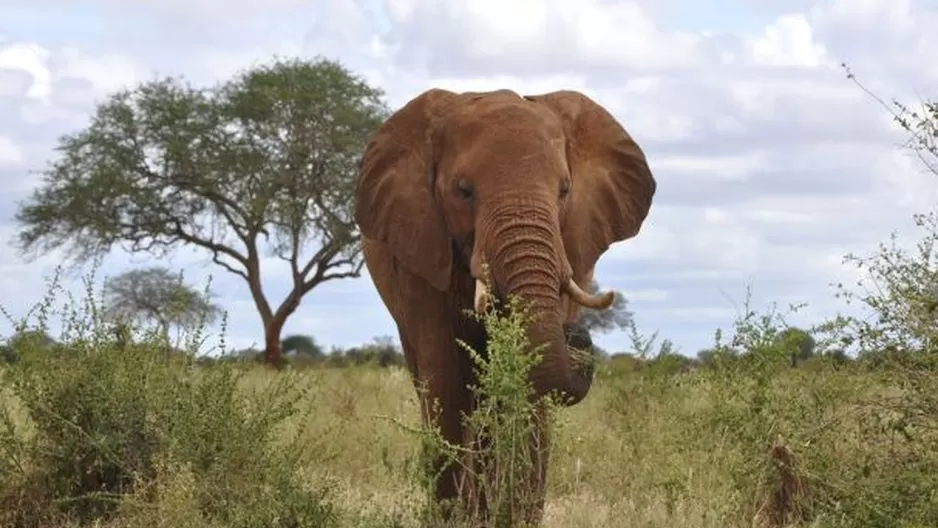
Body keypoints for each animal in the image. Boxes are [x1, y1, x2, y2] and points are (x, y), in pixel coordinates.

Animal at [354, 88, 656, 520]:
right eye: (463, 191)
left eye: (564, 190)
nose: (577, 334)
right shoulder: (419, 251)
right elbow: (445, 377)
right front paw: (454, 518)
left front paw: (512, 518)